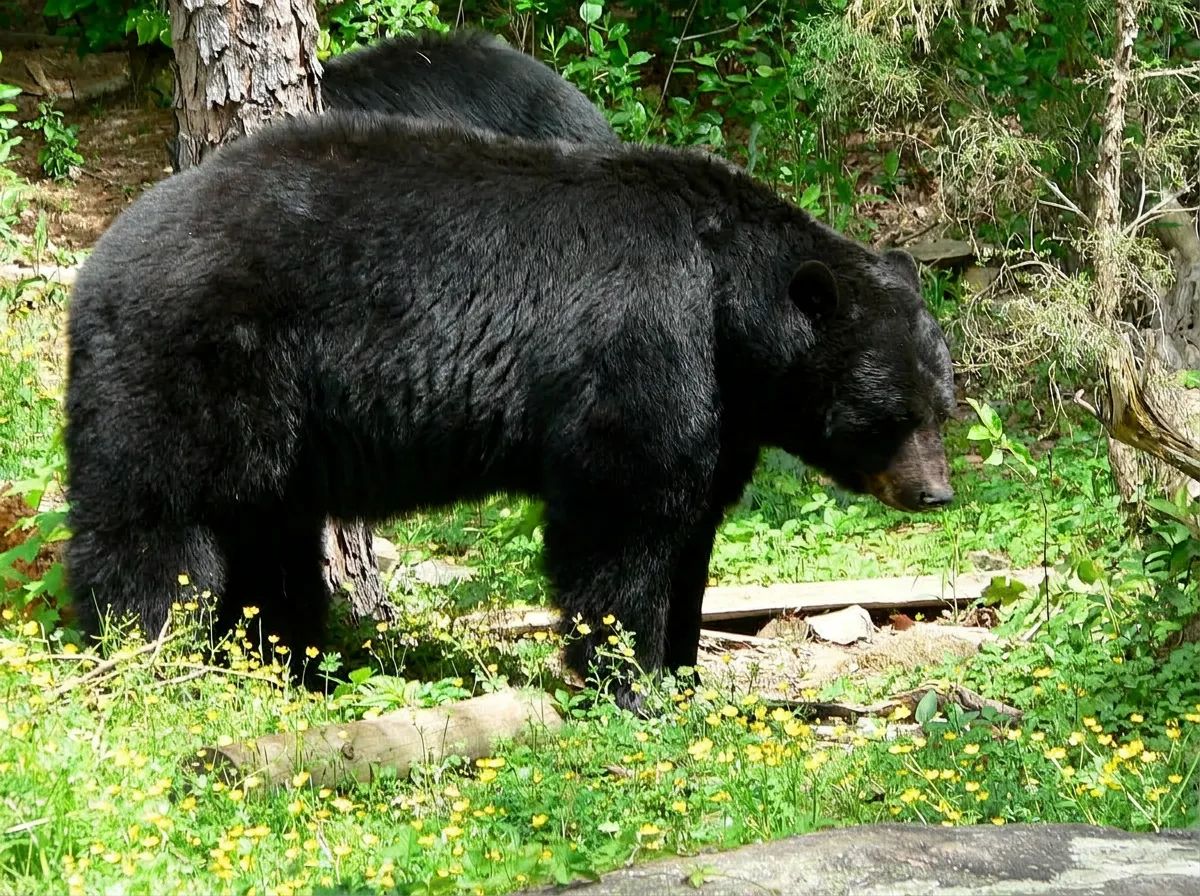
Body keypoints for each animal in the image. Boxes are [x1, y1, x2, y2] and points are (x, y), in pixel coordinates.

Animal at [63, 111, 955, 711]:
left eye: (943, 404)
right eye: (891, 411)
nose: (935, 492)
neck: (725, 300)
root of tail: (101, 256)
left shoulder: (721, 407)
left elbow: (692, 525)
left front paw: (682, 670)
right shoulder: (646, 344)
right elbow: (621, 512)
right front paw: (628, 680)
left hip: (272, 422)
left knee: (264, 529)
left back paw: (288, 660)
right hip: (197, 361)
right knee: (154, 515)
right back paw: (139, 648)